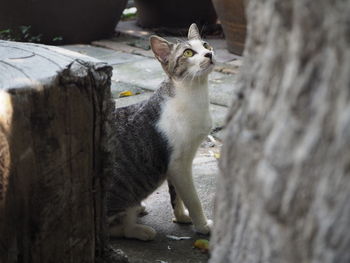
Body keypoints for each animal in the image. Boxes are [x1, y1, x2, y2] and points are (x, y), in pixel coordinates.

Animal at [106, 23, 215, 242]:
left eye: (206, 44)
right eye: (188, 53)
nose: (209, 54)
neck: (194, 94)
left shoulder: (175, 164)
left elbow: (177, 195)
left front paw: (181, 216)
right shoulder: (179, 164)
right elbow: (193, 198)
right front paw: (202, 225)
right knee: (114, 228)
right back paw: (140, 230)